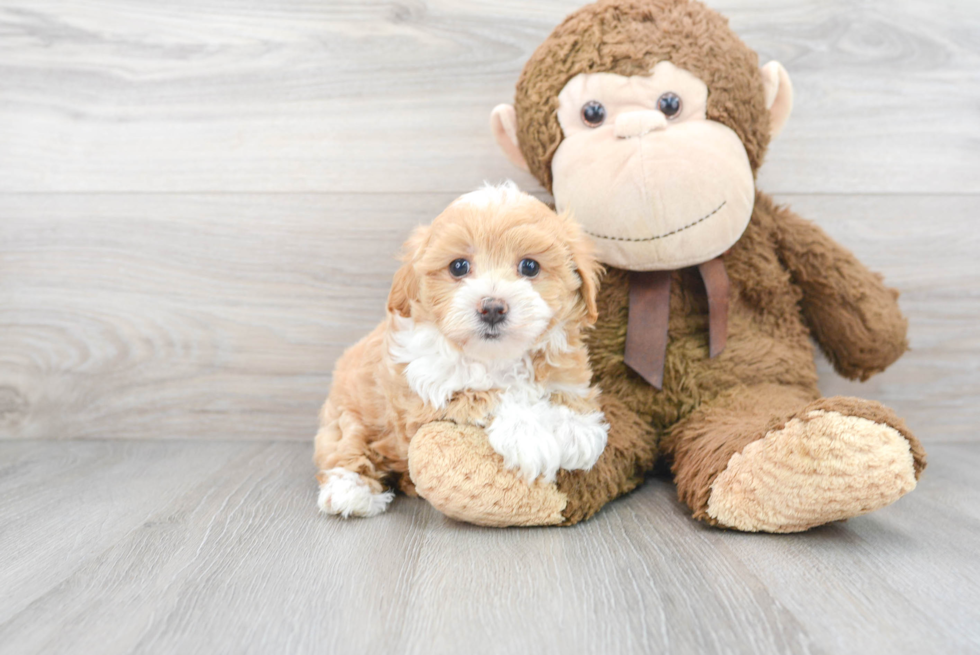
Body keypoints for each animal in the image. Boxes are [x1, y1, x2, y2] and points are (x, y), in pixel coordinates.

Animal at [314, 182, 604, 520]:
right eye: (459, 266)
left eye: (530, 266)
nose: (492, 307)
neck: (496, 357)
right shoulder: (427, 391)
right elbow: (491, 396)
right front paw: (529, 435)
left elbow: (564, 388)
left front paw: (577, 428)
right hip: (346, 418)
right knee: (345, 448)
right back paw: (350, 491)